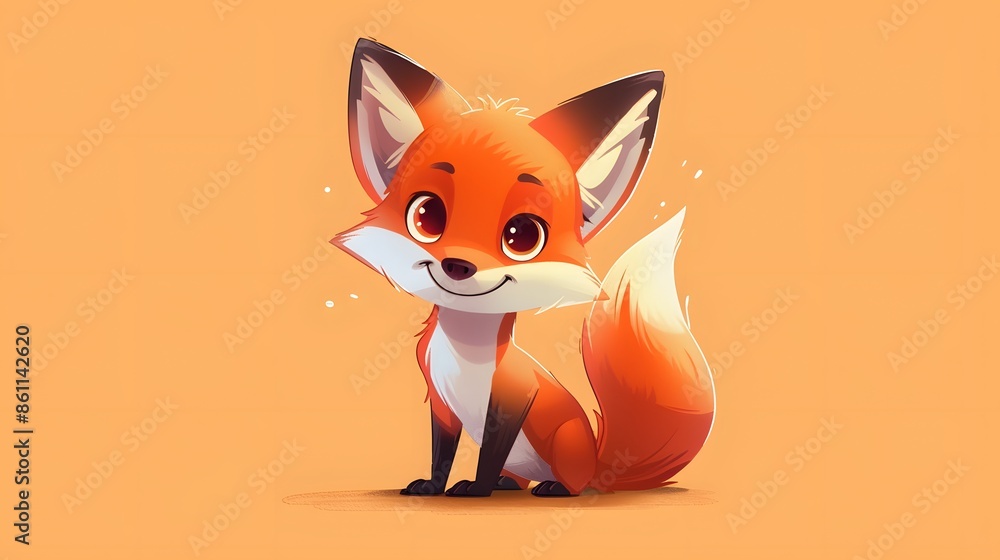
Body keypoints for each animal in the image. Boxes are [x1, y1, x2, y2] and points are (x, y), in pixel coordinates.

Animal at [333, 39, 716, 497]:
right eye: (427, 215)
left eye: (522, 235)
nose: (457, 265)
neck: (465, 354)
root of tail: (600, 464)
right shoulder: (441, 402)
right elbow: (442, 454)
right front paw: (434, 486)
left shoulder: (512, 401)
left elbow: (488, 453)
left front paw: (476, 490)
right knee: (514, 476)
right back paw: (507, 484)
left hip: (566, 443)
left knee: (571, 484)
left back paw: (550, 488)